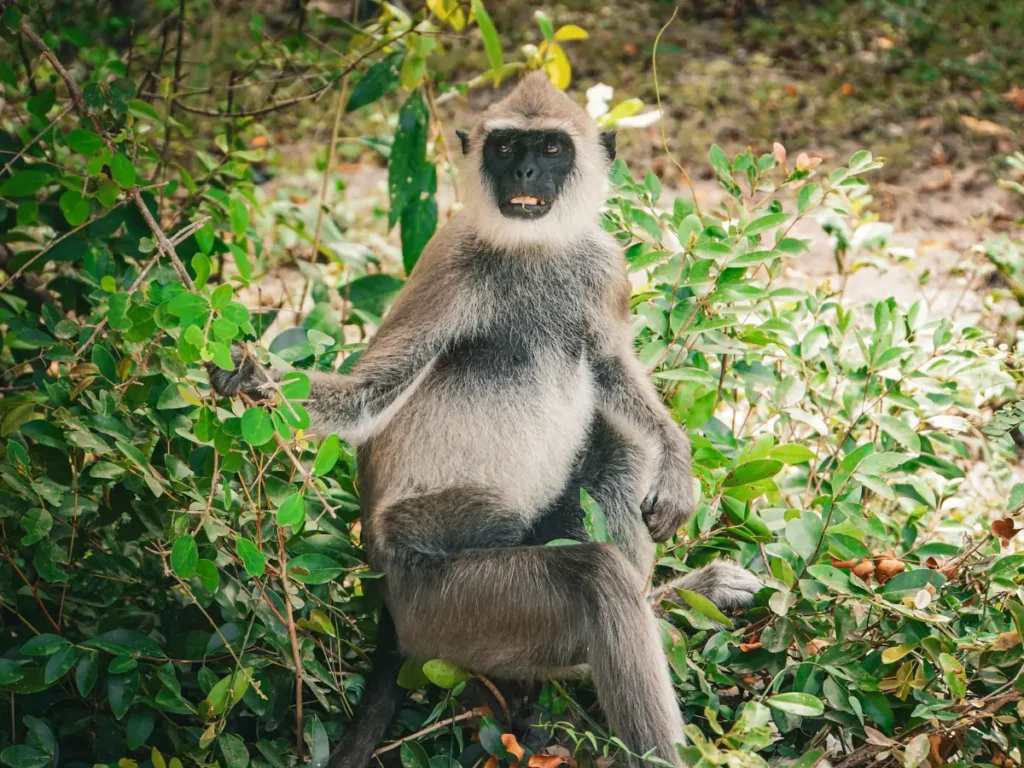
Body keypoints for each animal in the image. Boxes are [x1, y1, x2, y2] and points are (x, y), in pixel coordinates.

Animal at [207, 70, 761, 765]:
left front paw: (678, 464)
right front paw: (250, 376)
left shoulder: (603, 267)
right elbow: (368, 397)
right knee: (590, 578)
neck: (533, 251)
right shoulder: (450, 262)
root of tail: (392, 607)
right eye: (504, 148)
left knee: (618, 450)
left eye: (550, 148)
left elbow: (611, 370)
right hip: (450, 607)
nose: (524, 169)